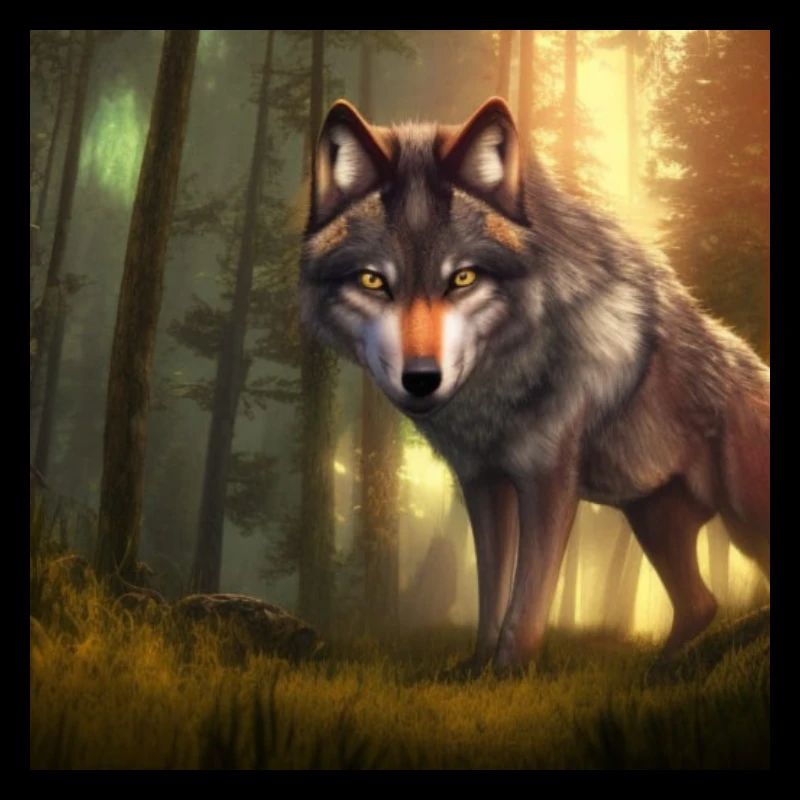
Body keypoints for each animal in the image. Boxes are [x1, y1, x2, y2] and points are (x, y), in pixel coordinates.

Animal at [299, 97, 770, 674]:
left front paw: (508, 671)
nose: (422, 379)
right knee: (701, 605)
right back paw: (662, 672)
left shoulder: (547, 481)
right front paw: (476, 670)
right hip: (652, 519)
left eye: (462, 278)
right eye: (373, 281)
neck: (500, 383)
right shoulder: (482, 482)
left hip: (742, 520)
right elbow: (492, 588)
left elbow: (528, 598)